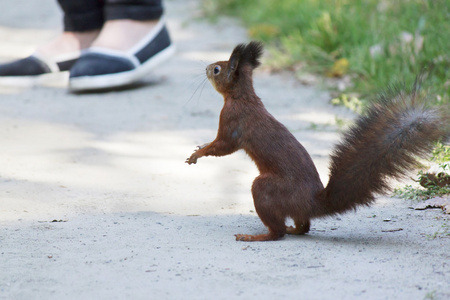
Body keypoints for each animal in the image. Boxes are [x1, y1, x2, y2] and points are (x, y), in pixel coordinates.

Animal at [185, 41, 448, 241]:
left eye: (217, 69)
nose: (206, 67)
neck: (242, 96)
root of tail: (311, 202)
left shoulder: (232, 121)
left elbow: (223, 146)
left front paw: (198, 154)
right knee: (304, 227)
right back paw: (293, 229)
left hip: (267, 188)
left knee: (278, 232)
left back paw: (258, 236)